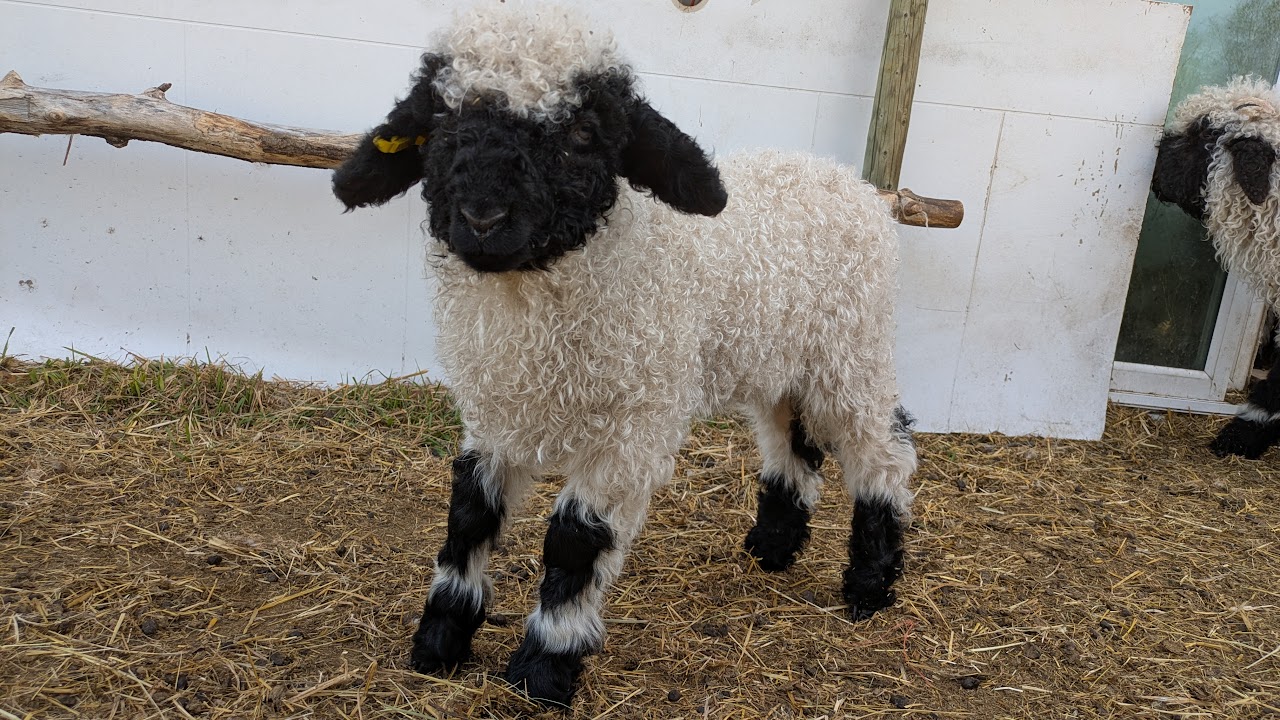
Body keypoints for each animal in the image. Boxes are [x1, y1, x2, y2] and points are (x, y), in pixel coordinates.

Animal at [332, 5, 916, 706]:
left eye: (583, 132)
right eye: (441, 119)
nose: (482, 218)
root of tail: (851, 182)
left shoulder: (629, 432)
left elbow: (574, 542)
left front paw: (544, 667)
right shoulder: (496, 412)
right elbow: (469, 515)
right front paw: (440, 640)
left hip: (852, 352)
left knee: (885, 451)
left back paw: (870, 585)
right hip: (780, 363)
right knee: (792, 446)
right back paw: (772, 549)